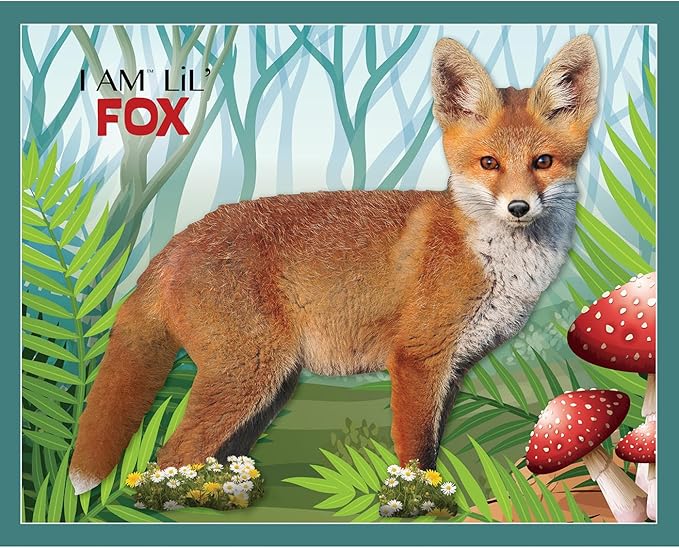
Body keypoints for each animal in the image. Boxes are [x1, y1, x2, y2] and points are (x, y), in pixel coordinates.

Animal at [69, 35, 599, 494]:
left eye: (543, 161)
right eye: (489, 163)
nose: (519, 208)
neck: (493, 260)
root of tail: (177, 241)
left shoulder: (454, 369)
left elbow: (432, 446)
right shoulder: (416, 359)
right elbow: (415, 454)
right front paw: (421, 506)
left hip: (270, 388)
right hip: (248, 376)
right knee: (169, 459)